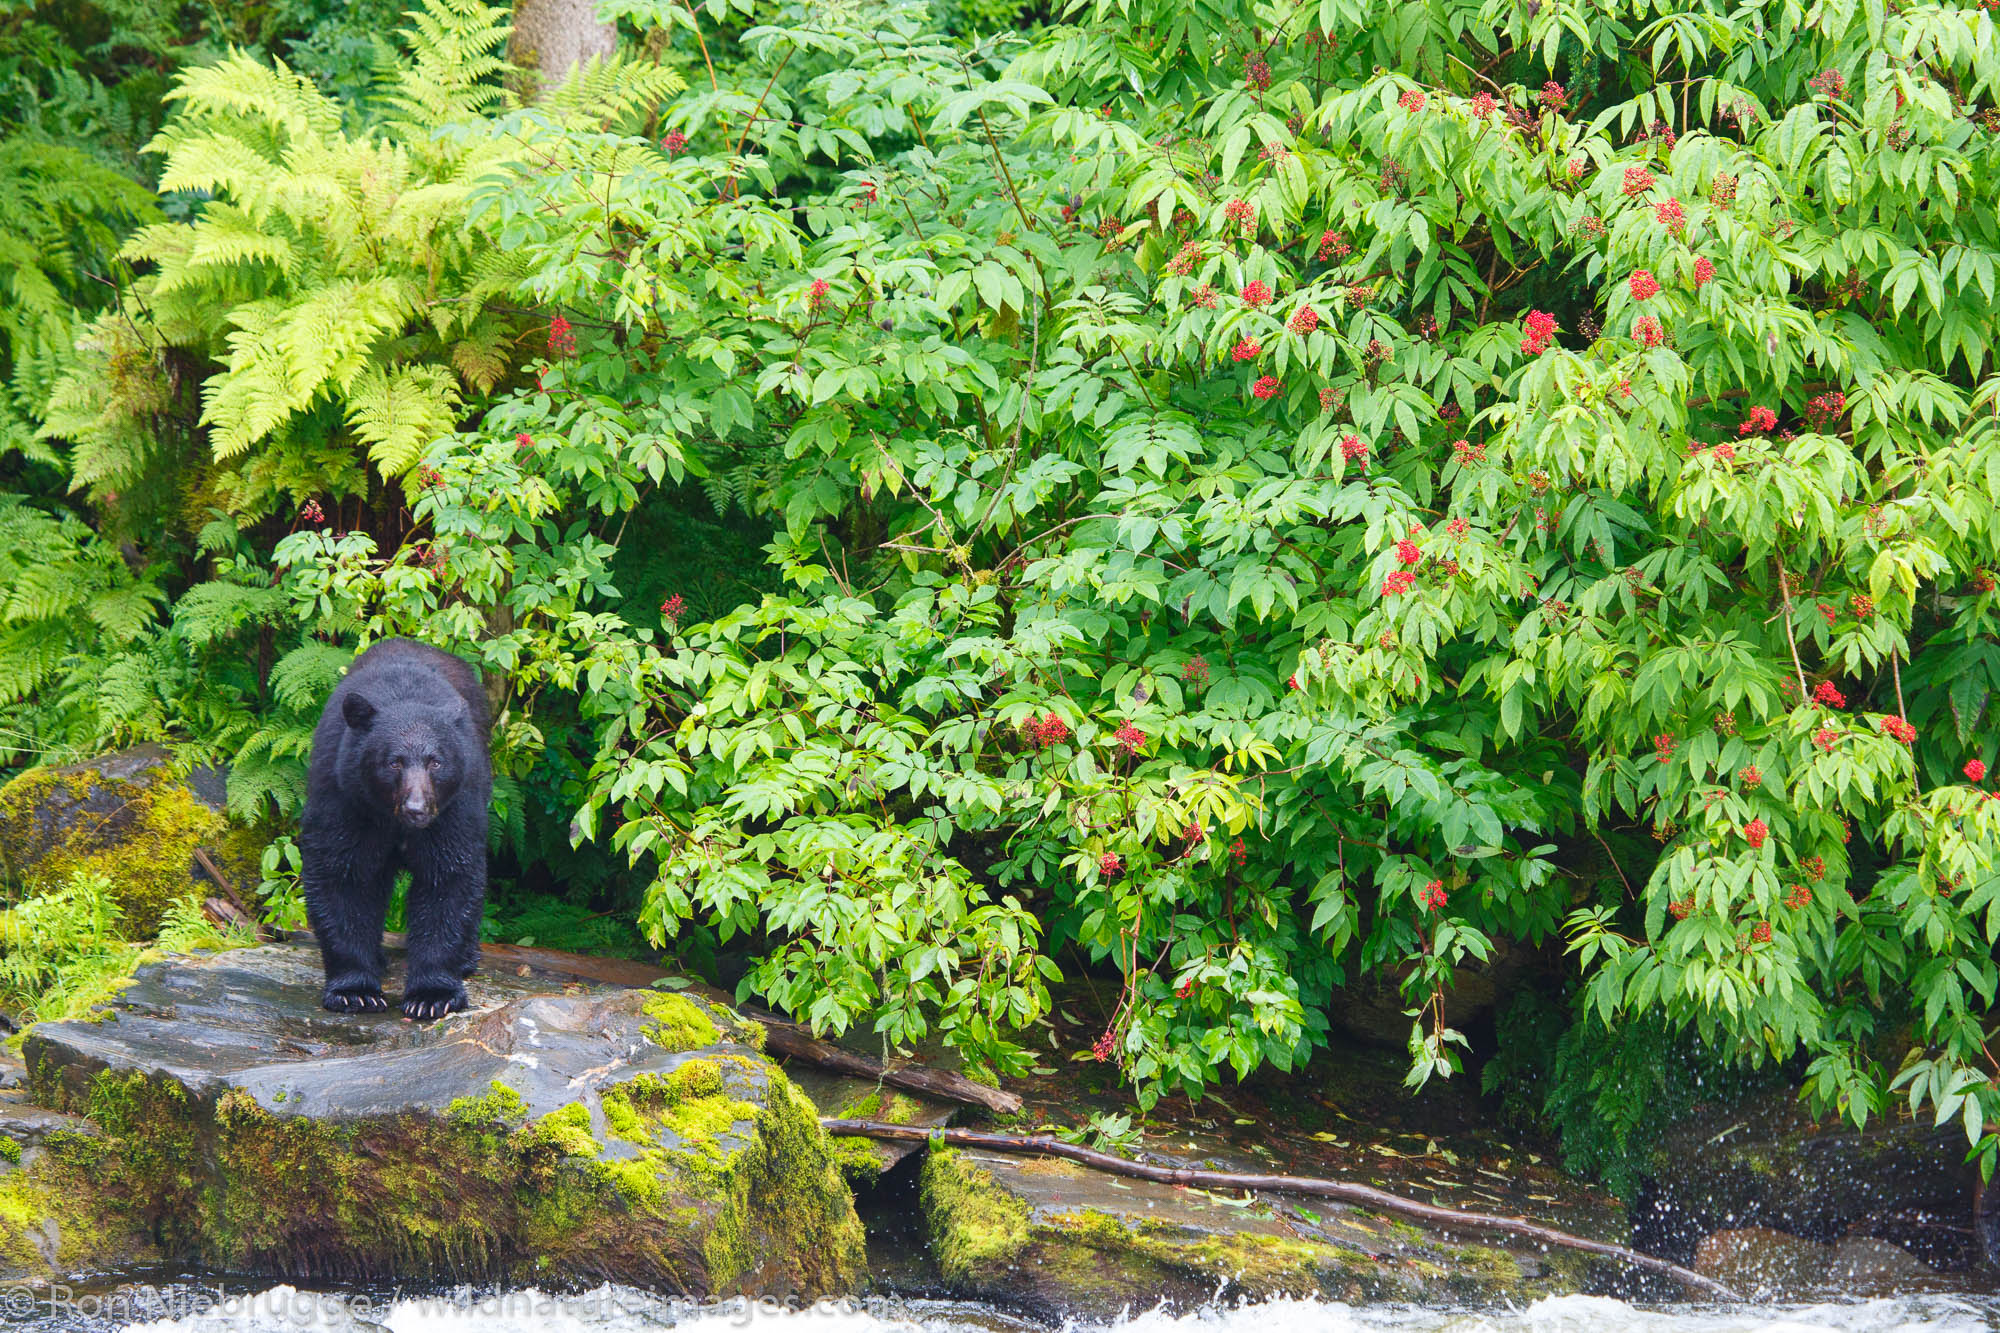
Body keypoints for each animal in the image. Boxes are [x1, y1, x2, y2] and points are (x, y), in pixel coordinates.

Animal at [304, 640, 492, 1012]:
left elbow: (449, 876)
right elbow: (341, 874)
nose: (416, 809)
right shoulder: (345, 796)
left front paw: (432, 996)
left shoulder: (454, 805)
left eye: (436, 761)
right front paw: (355, 990)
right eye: (394, 763)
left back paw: (467, 959)